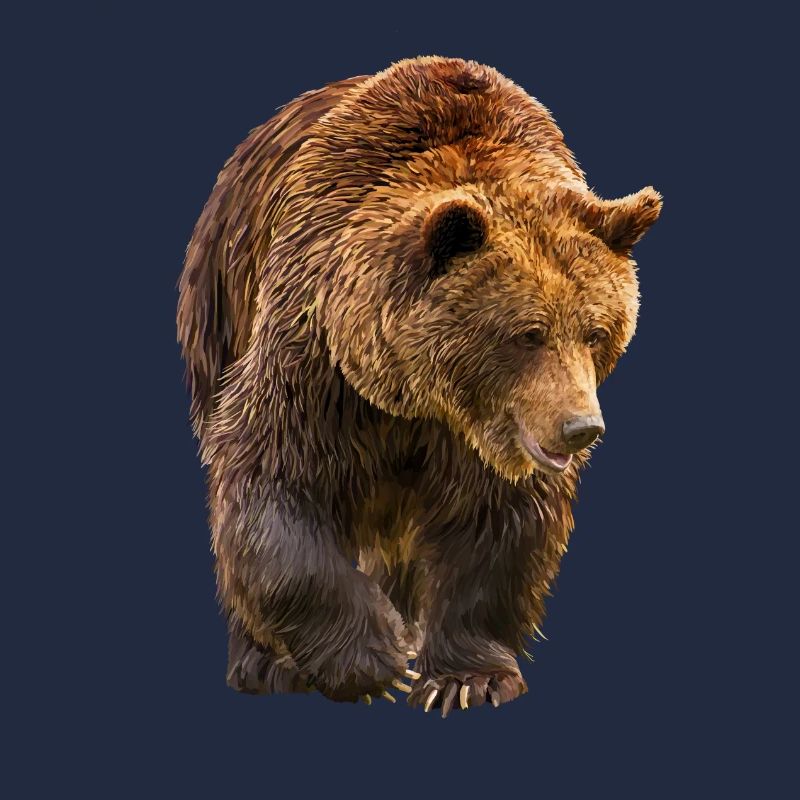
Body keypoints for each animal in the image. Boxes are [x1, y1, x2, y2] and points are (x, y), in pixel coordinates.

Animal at [177, 56, 661, 716]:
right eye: (529, 333)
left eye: (596, 331)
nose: (580, 427)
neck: (416, 394)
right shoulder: (316, 359)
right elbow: (272, 480)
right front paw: (375, 664)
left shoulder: (488, 436)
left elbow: (499, 523)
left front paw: (465, 679)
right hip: (221, 301)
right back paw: (264, 663)